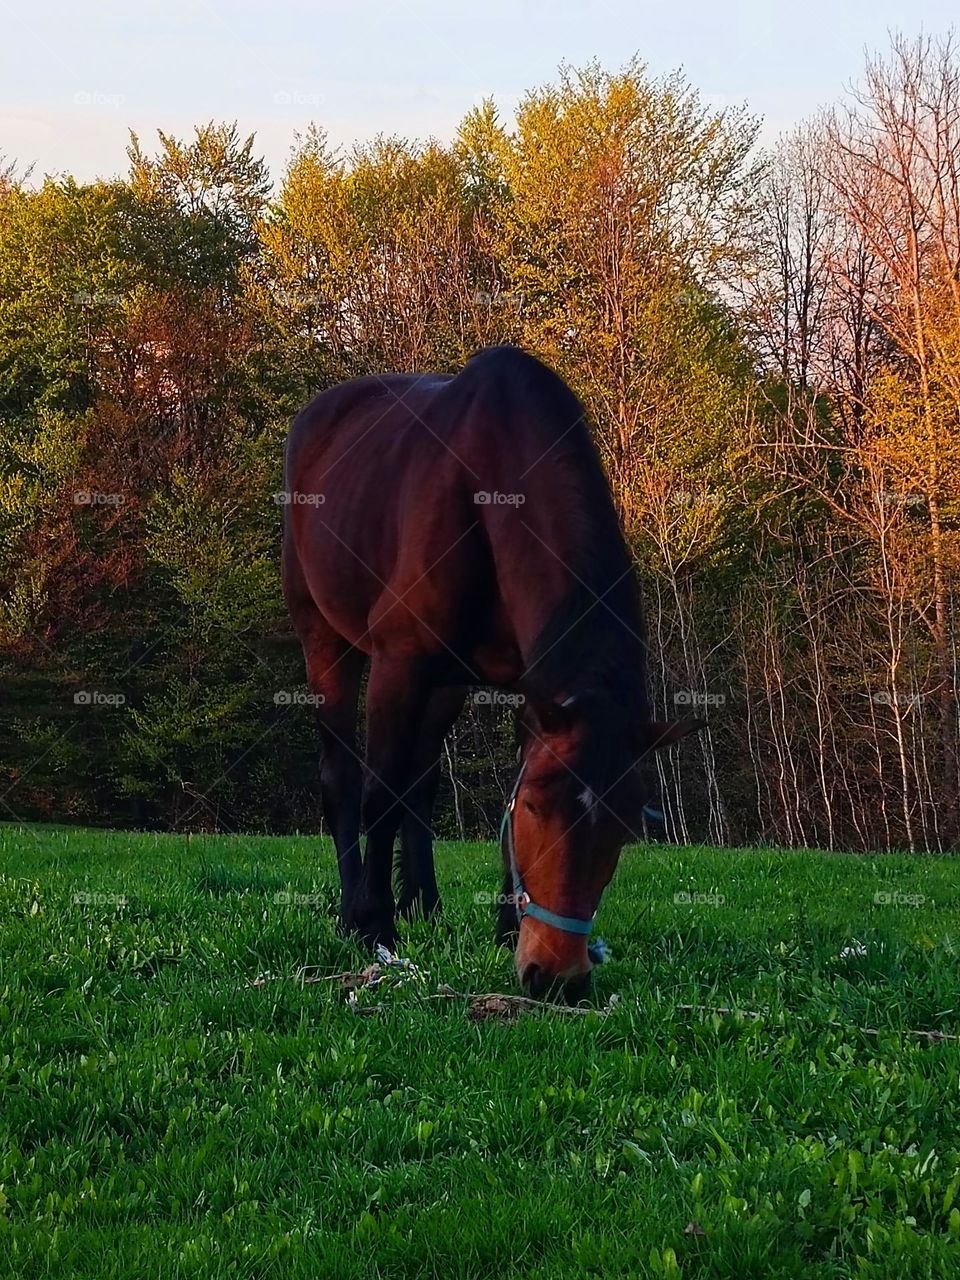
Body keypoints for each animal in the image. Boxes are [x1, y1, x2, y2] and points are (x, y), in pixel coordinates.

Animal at [282, 345, 701, 999]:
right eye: (536, 810)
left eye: (626, 826)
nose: (559, 977)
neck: (485, 488)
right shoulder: (398, 665)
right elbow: (380, 793)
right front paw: (375, 926)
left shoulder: (530, 689)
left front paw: (505, 927)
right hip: (325, 639)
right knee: (343, 776)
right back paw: (356, 909)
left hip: (448, 681)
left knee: (422, 783)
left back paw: (424, 903)